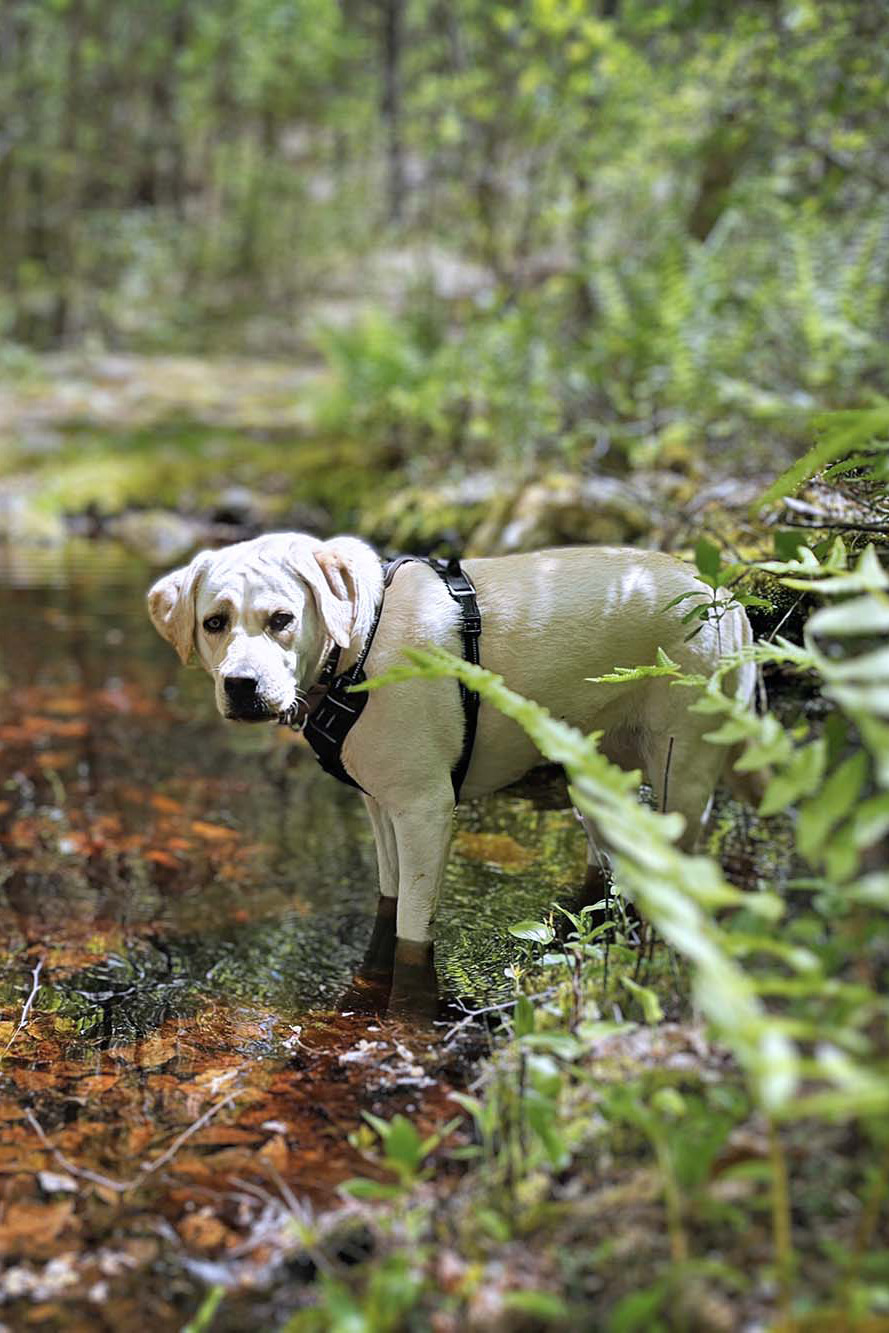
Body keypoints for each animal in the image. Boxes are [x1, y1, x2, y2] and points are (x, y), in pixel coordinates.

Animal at [147, 530, 757, 1007]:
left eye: (282, 620)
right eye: (214, 622)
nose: (241, 685)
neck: (359, 647)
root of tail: (728, 598)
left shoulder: (425, 810)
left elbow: (412, 937)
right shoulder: (382, 805)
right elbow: (387, 899)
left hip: (683, 771)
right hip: (597, 781)